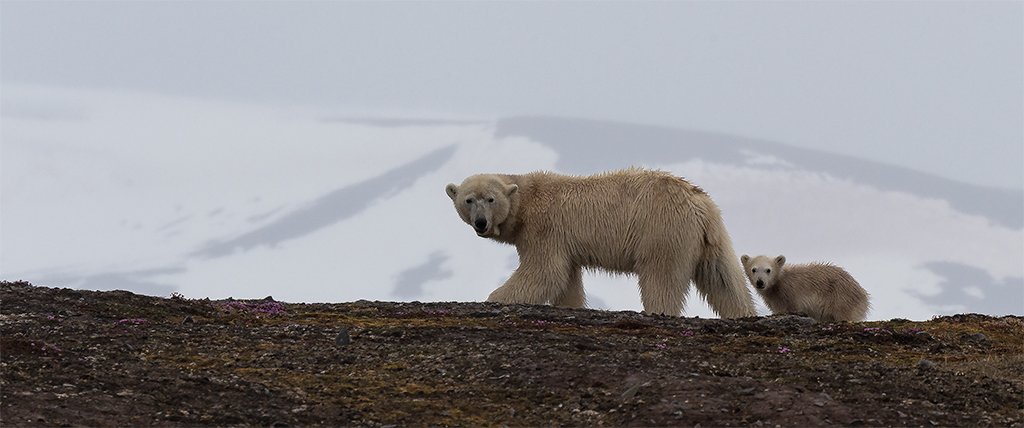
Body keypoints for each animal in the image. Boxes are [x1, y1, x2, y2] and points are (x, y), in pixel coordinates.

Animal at [444, 166, 757, 317]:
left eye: (490, 199)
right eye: (468, 200)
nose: (481, 223)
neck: (526, 198)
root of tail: (699, 203)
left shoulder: (544, 228)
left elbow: (544, 271)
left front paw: (493, 298)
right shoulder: (563, 242)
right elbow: (566, 280)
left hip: (662, 230)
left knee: (661, 277)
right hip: (712, 237)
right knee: (723, 278)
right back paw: (742, 313)